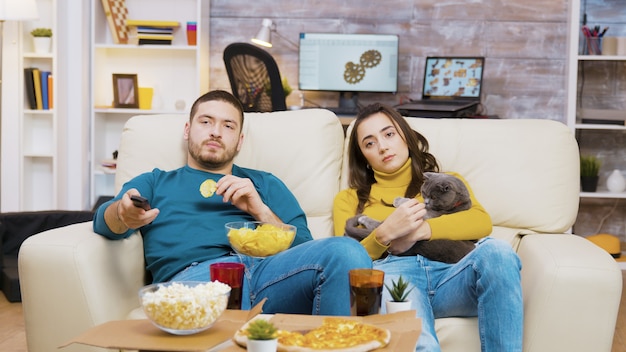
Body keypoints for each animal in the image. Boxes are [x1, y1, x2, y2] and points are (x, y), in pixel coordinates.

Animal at [344, 172, 476, 262]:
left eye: (433, 197)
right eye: (424, 193)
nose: (426, 202)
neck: (458, 202)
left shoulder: (431, 214)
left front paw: (398, 200)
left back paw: (363, 219)